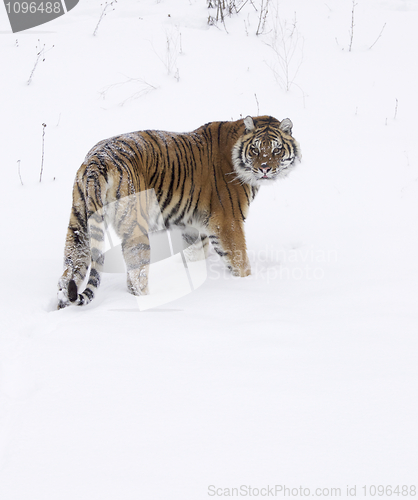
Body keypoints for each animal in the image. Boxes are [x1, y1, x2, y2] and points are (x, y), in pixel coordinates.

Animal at [58, 115, 300, 308]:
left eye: (276, 149)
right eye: (256, 149)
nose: (265, 168)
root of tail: (97, 160)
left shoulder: (195, 227)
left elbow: (195, 255)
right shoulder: (227, 223)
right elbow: (240, 261)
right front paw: (247, 283)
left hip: (78, 225)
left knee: (69, 273)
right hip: (135, 230)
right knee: (136, 278)